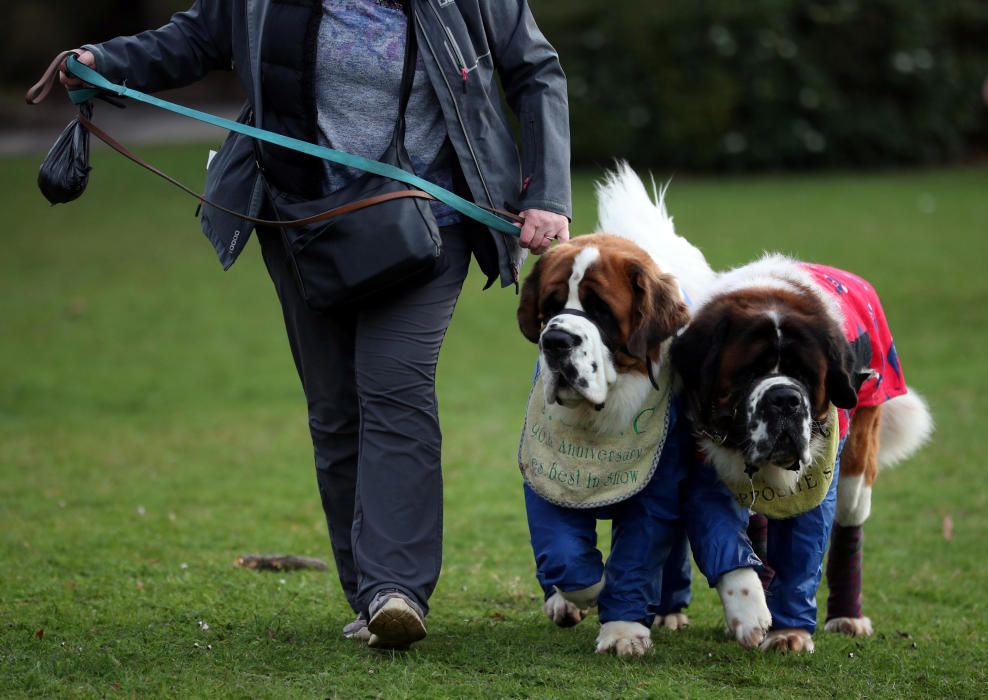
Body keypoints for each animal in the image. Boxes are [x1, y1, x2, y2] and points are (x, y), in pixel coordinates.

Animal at [516, 164, 716, 656]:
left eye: (601, 311)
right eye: (550, 306)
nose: (556, 340)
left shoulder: (656, 492)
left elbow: (637, 557)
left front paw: (623, 630)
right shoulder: (544, 480)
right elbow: (566, 555)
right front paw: (579, 594)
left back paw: (668, 610)